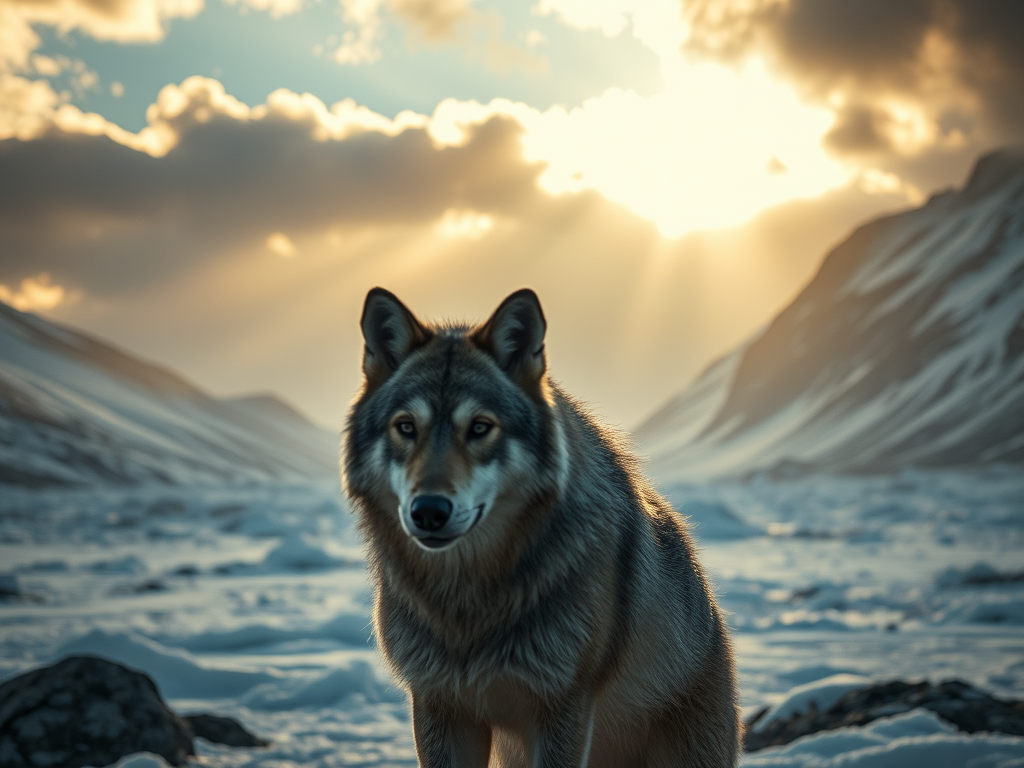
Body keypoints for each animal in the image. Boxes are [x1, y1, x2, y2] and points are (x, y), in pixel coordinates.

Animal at [343, 288, 740, 767]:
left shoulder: (563, 706)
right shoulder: (438, 704)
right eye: (405, 427)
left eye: (480, 427)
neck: (468, 603)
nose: (429, 511)